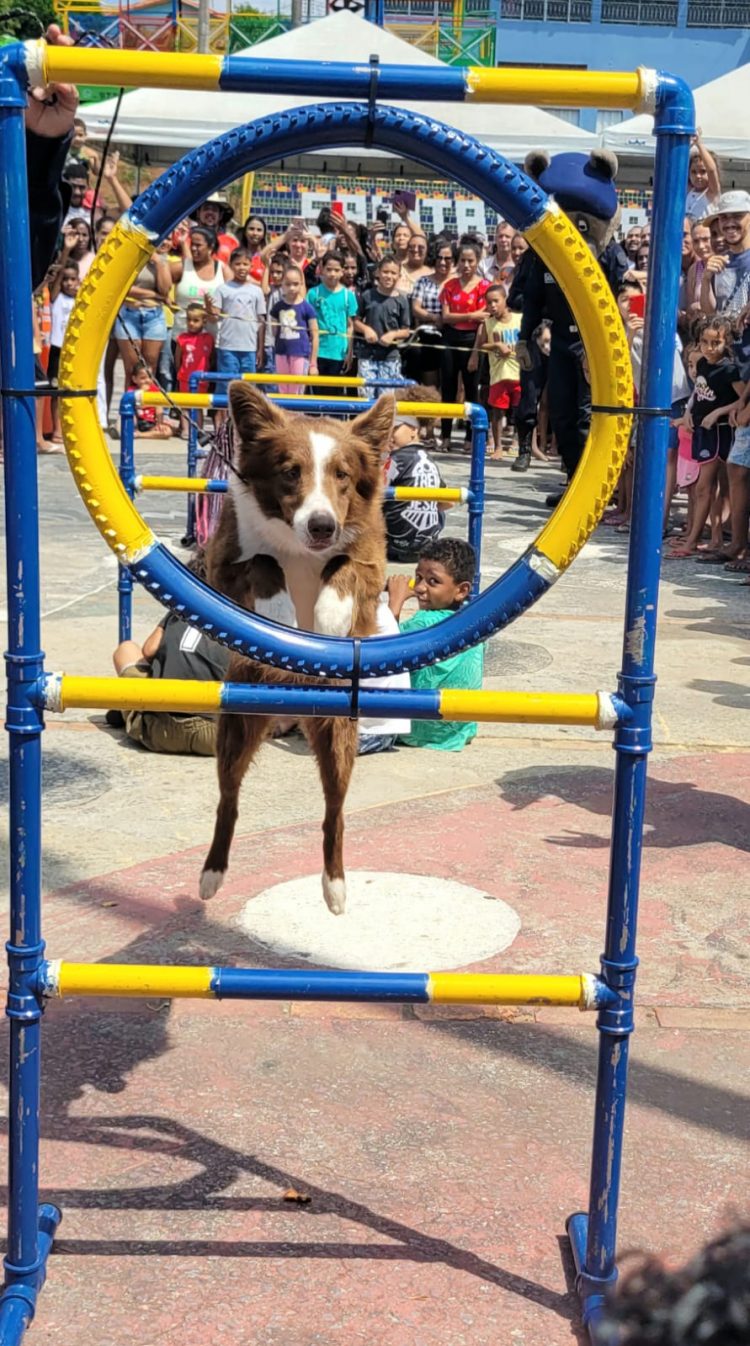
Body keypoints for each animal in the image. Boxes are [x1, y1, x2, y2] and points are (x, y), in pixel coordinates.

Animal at [199, 384, 398, 920]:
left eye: (342, 475)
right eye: (290, 471)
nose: (323, 525)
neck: (300, 546)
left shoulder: (373, 568)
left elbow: (344, 565)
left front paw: (327, 615)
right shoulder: (220, 570)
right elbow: (264, 560)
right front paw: (283, 610)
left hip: (338, 731)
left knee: (335, 811)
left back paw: (335, 888)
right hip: (238, 720)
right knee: (228, 798)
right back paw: (211, 874)